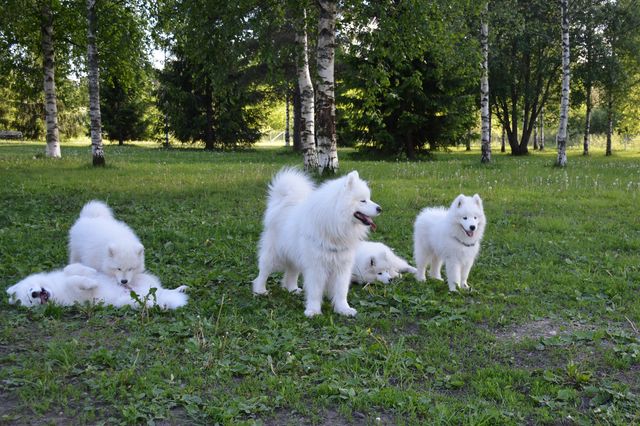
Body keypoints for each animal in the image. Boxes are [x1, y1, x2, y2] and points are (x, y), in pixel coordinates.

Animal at [6, 262, 188, 310]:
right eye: (30, 300)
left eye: (30, 290)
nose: (35, 294)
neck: (55, 289)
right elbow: (75, 280)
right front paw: (91, 283)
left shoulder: (66, 272)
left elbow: (71, 269)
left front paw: (90, 273)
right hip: (127, 302)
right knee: (151, 302)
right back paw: (159, 305)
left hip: (144, 282)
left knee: (164, 290)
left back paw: (180, 288)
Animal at [250, 168, 380, 318]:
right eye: (363, 201)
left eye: (369, 199)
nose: (379, 208)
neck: (335, 228)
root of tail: (283, 201)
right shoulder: (317, 267)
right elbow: (315, 291)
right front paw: (313, 310)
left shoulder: (342, 266)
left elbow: (341, 291)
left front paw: (343, 309)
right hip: (273, 255)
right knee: (263, 272)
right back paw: (260, 290)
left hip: (295, 256)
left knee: (291, 273)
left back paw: (293, 289)